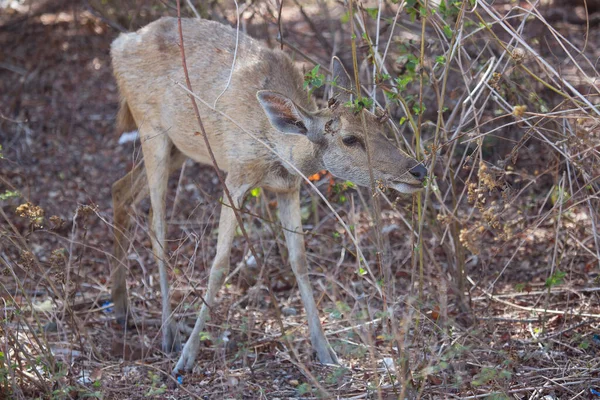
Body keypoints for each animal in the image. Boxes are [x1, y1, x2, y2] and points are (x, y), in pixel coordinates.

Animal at [109, 14, 426, 372]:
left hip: (179, 145)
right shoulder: (235, 176)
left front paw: (325, 351)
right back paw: (169, 334)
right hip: (152, 129)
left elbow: (299, 261)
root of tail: (118, 44)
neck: (275, 149)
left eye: (379, 122)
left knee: (120, 190)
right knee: (157, 223)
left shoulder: (289, 187)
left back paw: (122, 308)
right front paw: (188, 356)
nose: (418, 170)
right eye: (349, 139)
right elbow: (219, 264)